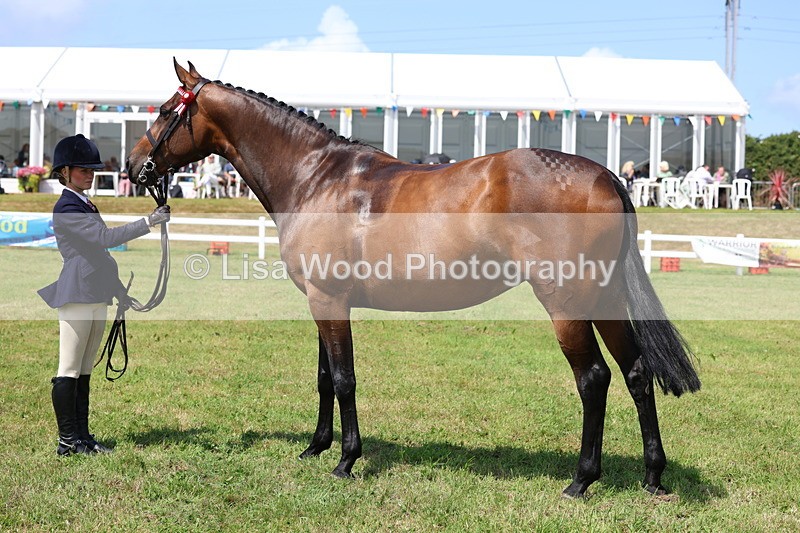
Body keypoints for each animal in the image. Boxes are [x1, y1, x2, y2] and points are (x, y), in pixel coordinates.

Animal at [127, 60, 700, 498]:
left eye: (165, 111)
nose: (135, 168)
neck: (316, 178)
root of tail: (606, 177)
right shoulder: (320, 300)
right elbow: (323, 378)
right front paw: (315, 447)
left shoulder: (330, 300)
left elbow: (343, 378)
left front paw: (346, 460)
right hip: (604, 298)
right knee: (637, 373)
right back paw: (653, 477)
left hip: (566, 304)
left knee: (594, 379)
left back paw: (581, 480)